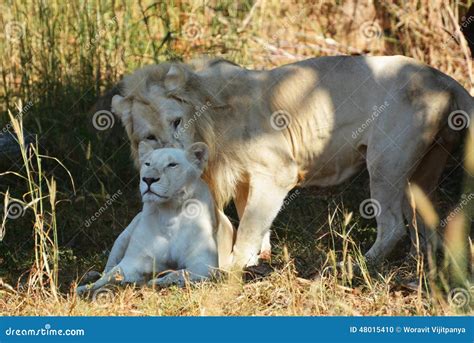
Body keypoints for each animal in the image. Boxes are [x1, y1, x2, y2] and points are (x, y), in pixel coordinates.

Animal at [77, 142, 234, 296]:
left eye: (172, 164)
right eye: (147, 163)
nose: (148, 179)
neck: (168, 213)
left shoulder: (205, 264)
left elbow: (179, 273)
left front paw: (158, 282)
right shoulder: (133, 260)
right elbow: (109, 276)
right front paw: (83, 290)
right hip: (122, 239)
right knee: (107, 269)